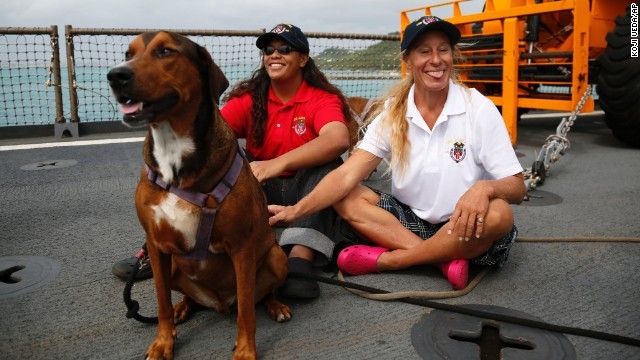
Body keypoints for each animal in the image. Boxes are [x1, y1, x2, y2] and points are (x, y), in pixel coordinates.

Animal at [108, 31, 292, 360]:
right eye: (128, 53)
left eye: (165, 51)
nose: (116, 75)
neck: (173, 149)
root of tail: (218, 302)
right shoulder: (156, 246)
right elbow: (162, 301)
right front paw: (164, 341)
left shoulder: (242, 247)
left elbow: (247, 312)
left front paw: (246, 350)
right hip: (174, 265)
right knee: (185, 297)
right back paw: (184, 308)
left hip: (275, 255)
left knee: (260, 294)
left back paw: (276, 305)